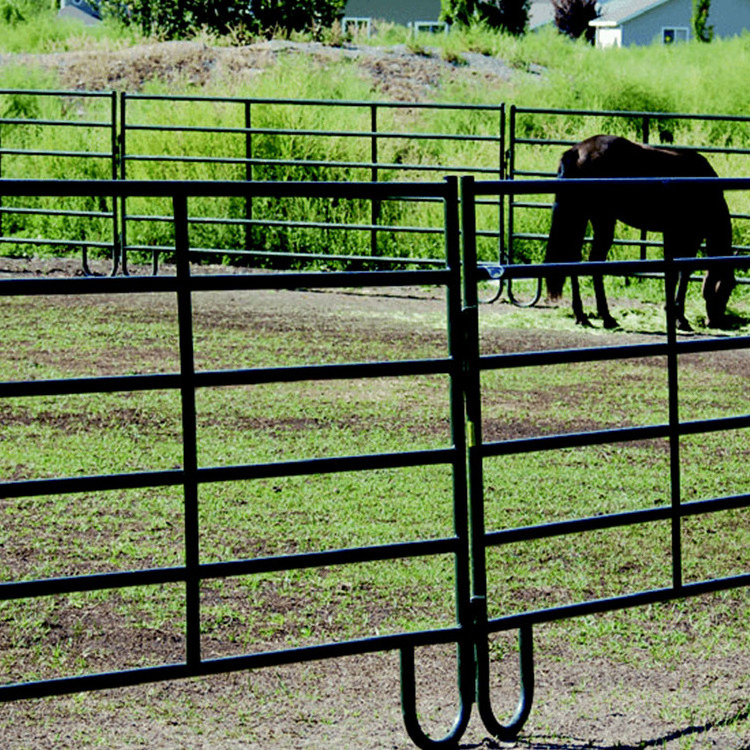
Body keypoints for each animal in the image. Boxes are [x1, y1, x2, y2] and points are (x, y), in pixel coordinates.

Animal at [544, 134, 736, 332]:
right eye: (728, 287)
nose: (716, 322)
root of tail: (577, 151)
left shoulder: (672, 234)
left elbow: (673, 273)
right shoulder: (690, 235)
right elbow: (683, 273)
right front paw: (681, 319)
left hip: (581, 217)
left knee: (574, 260)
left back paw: (582, 316)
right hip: (602, 219)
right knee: (594, 261)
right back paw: (605, 317)